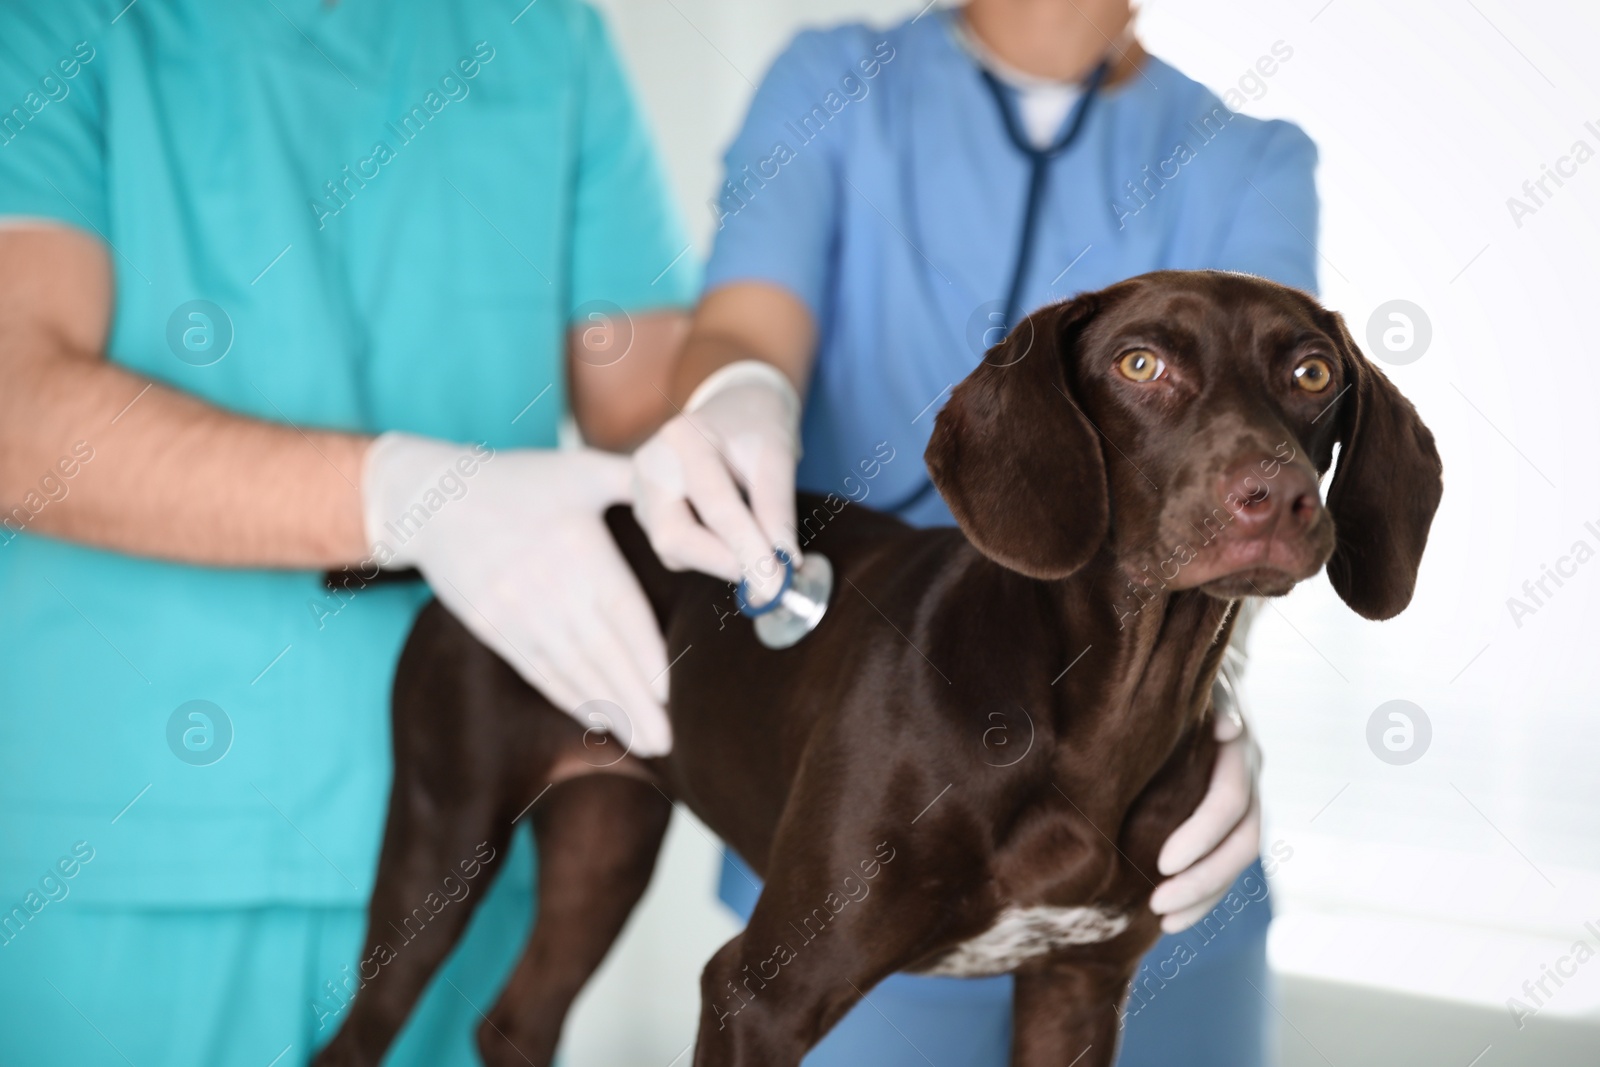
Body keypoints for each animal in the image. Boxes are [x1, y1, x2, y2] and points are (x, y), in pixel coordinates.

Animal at [308, 271, 1440, 1067]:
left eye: (1311, 374)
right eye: (1138, 366)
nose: (1277, 496)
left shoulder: (1076, 988)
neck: (1102, 714)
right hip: (441, 842)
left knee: (515, 1020)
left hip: (604, 836)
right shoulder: (759, 990)